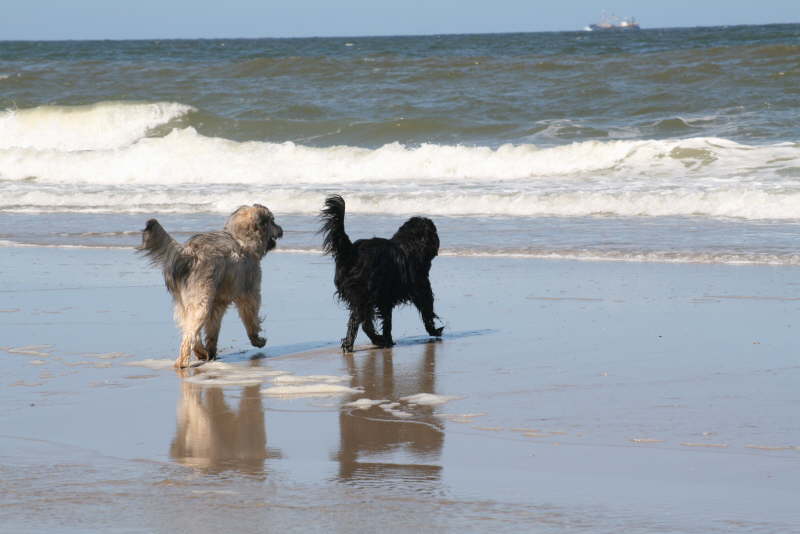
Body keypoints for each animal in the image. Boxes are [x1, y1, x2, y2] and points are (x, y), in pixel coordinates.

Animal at [139, 205, 282, 368]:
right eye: (272, 221)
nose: (281, 230)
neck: (242, 238)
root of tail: (189, 253)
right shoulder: (250, 291)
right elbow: (250, 318)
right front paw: (257, 340)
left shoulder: (218, 303)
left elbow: (213, 328)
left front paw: (211, 350)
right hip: (202, 300)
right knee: (189, 335)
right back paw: (183, 362)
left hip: (186, 302)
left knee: (191, 330)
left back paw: (201, 352)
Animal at [318, 195, 444, 354]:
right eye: (434, 231)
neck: (410, 244)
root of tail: (352, 251)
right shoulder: (421, 288)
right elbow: (427, 310)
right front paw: (435, 331)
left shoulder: (385, 298)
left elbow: (387, 320)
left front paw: (387, 340)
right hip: (363, 294)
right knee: (358, 321)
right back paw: (352, 344)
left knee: (364, 322)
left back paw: (376, 340)